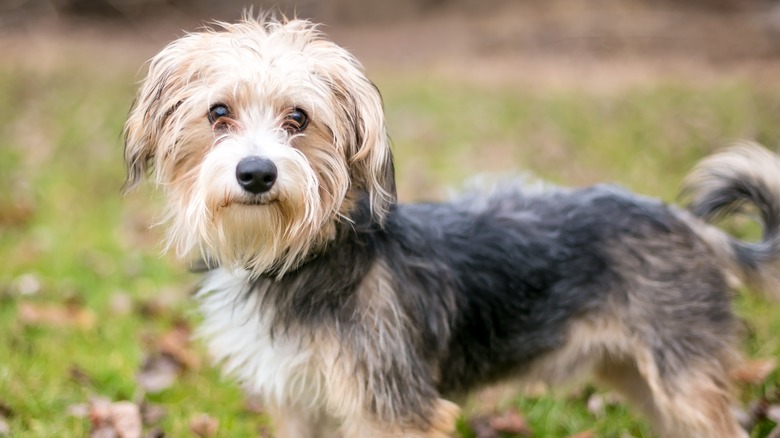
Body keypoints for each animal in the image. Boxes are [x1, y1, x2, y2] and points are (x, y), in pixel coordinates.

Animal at [122, 15, 780, 436]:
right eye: (218, 113)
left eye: (299, 119)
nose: (256, 173)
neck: (302, 256)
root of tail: (687, 224)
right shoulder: (301, 405)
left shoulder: (393, 410)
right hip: (641, 378)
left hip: (683, 382)